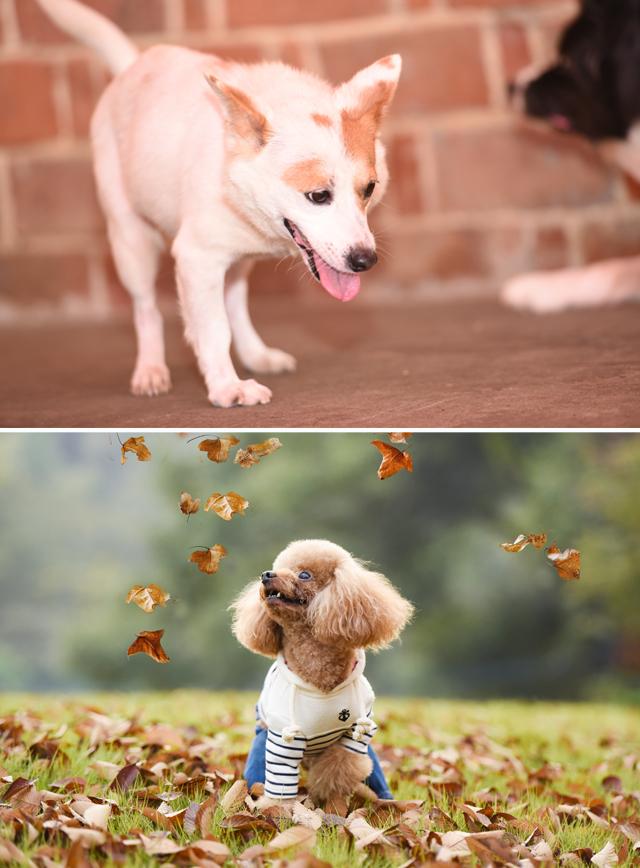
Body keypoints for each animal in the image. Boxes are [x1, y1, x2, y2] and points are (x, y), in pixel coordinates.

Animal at [36, 0, 400, 406]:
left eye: (369, 189)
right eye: (318, 196)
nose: (366, 261)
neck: (232, 169)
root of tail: (132, 65)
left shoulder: (226, 258)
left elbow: (227, 316)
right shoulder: (196, 260)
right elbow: (212, 329)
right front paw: (227, 387)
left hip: (236, 261)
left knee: (235, 304)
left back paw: (256, 354)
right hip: (131, 242)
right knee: (147, 309)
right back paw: (150, 369)